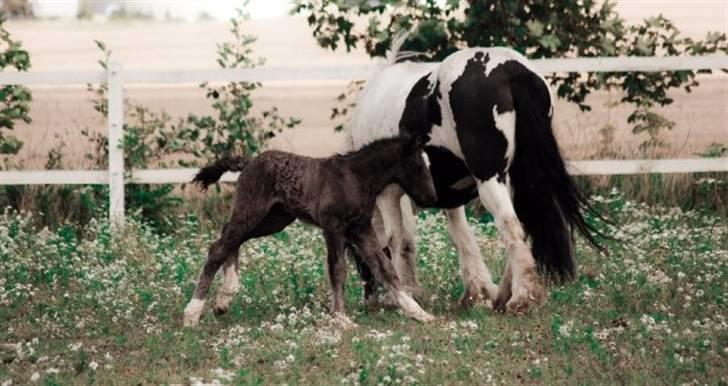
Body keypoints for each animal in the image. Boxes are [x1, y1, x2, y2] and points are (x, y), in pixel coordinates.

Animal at [183, 137, 438, 328]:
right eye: (418, 166)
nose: (431, 197)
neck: (356, 177)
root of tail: (249, 162)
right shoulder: (333, 227)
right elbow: (338, 270)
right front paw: (342, 318)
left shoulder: (361, 228)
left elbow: (385, 267)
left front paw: (419, 313)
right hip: (252, 211)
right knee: (219, 246)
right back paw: (193, 312)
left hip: (274, 220)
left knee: (231, 238)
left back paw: (224, 298)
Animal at [346, 40, 604, 312]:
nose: (369, 298)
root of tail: (512, 69)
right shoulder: (449, 195)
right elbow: (461, 236)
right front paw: (476, 290)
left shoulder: (388, 194)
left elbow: (398, 239)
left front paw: (403, 294)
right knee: (524, 225)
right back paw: (504, 295)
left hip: (490, 180)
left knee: (510, 225)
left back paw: (521, 297)